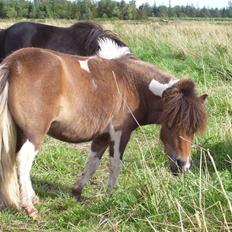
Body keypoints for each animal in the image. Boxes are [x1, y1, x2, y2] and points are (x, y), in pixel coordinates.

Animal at [0, 37, 207, 218]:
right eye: (171, 125)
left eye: (193, 130)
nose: (183, 165)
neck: (131, 84)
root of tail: (13, 63)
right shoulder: (120, 134)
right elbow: (115, 165)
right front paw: (110, 196)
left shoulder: (102, 136)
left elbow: (92, 163)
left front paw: (77, 191)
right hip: (34, 134)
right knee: (23, 161)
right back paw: (29, 207)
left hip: (20, 133)